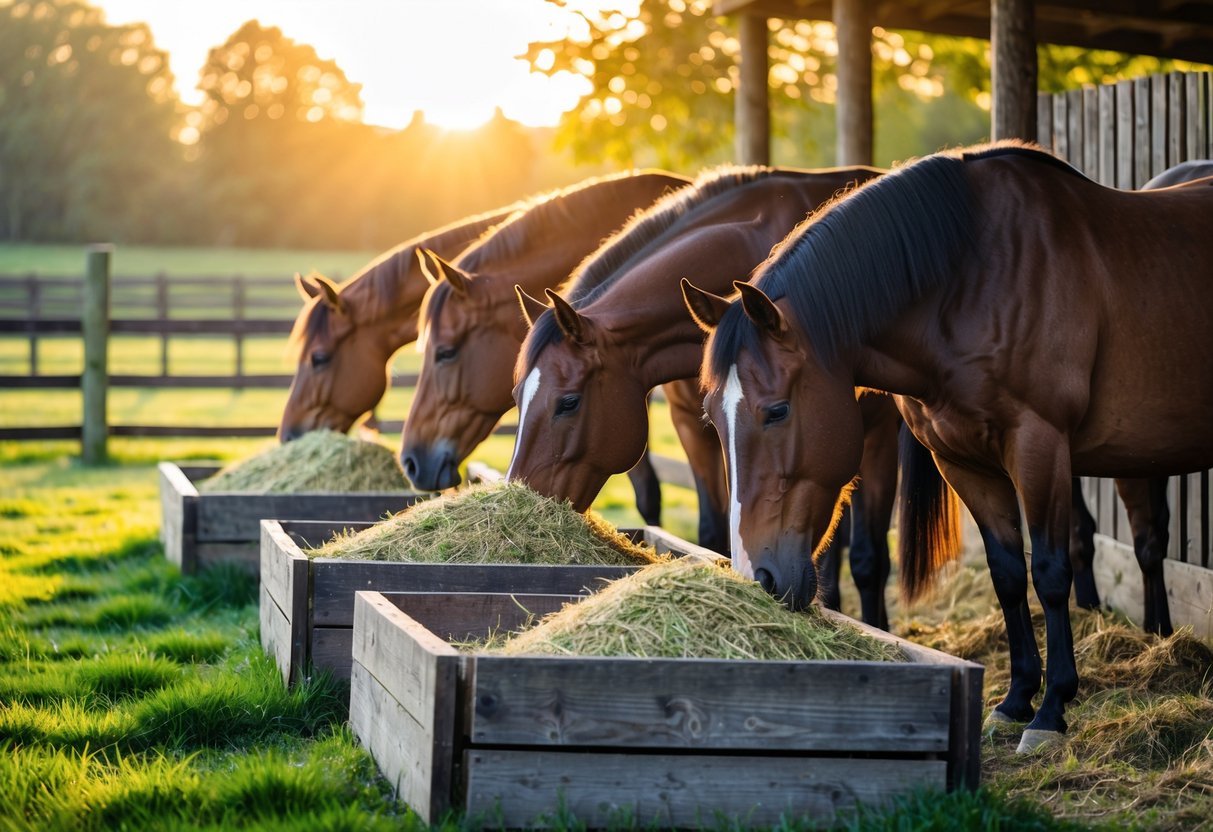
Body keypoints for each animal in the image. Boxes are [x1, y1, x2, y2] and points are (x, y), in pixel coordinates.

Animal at [683, 141, 1213, 753]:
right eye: (711, 420)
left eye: (776, 411)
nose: (757, 579)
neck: (973, 279)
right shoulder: (963, 462)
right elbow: (1007, 574)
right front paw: (1014, 701)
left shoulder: (1039, 445)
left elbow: (1049, 572)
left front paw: (1050, 711)